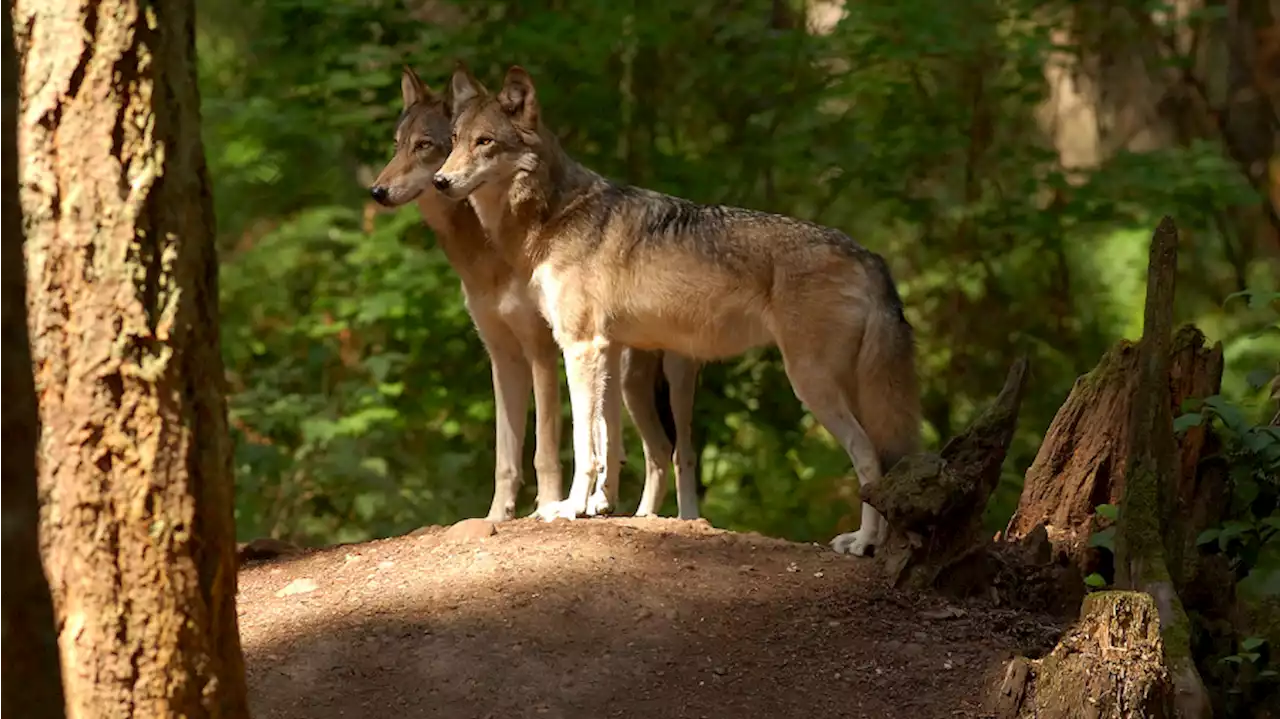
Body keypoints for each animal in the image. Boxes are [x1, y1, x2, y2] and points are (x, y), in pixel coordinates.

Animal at [366, 68, 706, 519]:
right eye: (397, 145)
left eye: (425, 145)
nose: (377, 191)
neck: (487, 253)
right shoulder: (502, 356)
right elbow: (505, 457)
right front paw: (497, 518)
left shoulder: (542, 351)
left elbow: (544, 449)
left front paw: (546, 506)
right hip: (626, 384)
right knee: (651, 450)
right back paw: (631, 514)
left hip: (670, 379)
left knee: (681, 453)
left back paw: (685, 519)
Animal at [430, 65, 921, 555]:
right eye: (453, 139)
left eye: (485, 141)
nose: (439, 181)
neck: (554, 214)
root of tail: (870, 256)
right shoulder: (607, 351)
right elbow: (607, 441)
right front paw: (595, 507)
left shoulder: (579, 347)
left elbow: (584, 444)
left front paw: (568, 508)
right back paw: (869, 541)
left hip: (809, 383)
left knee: (868, 455)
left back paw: (863, 543)